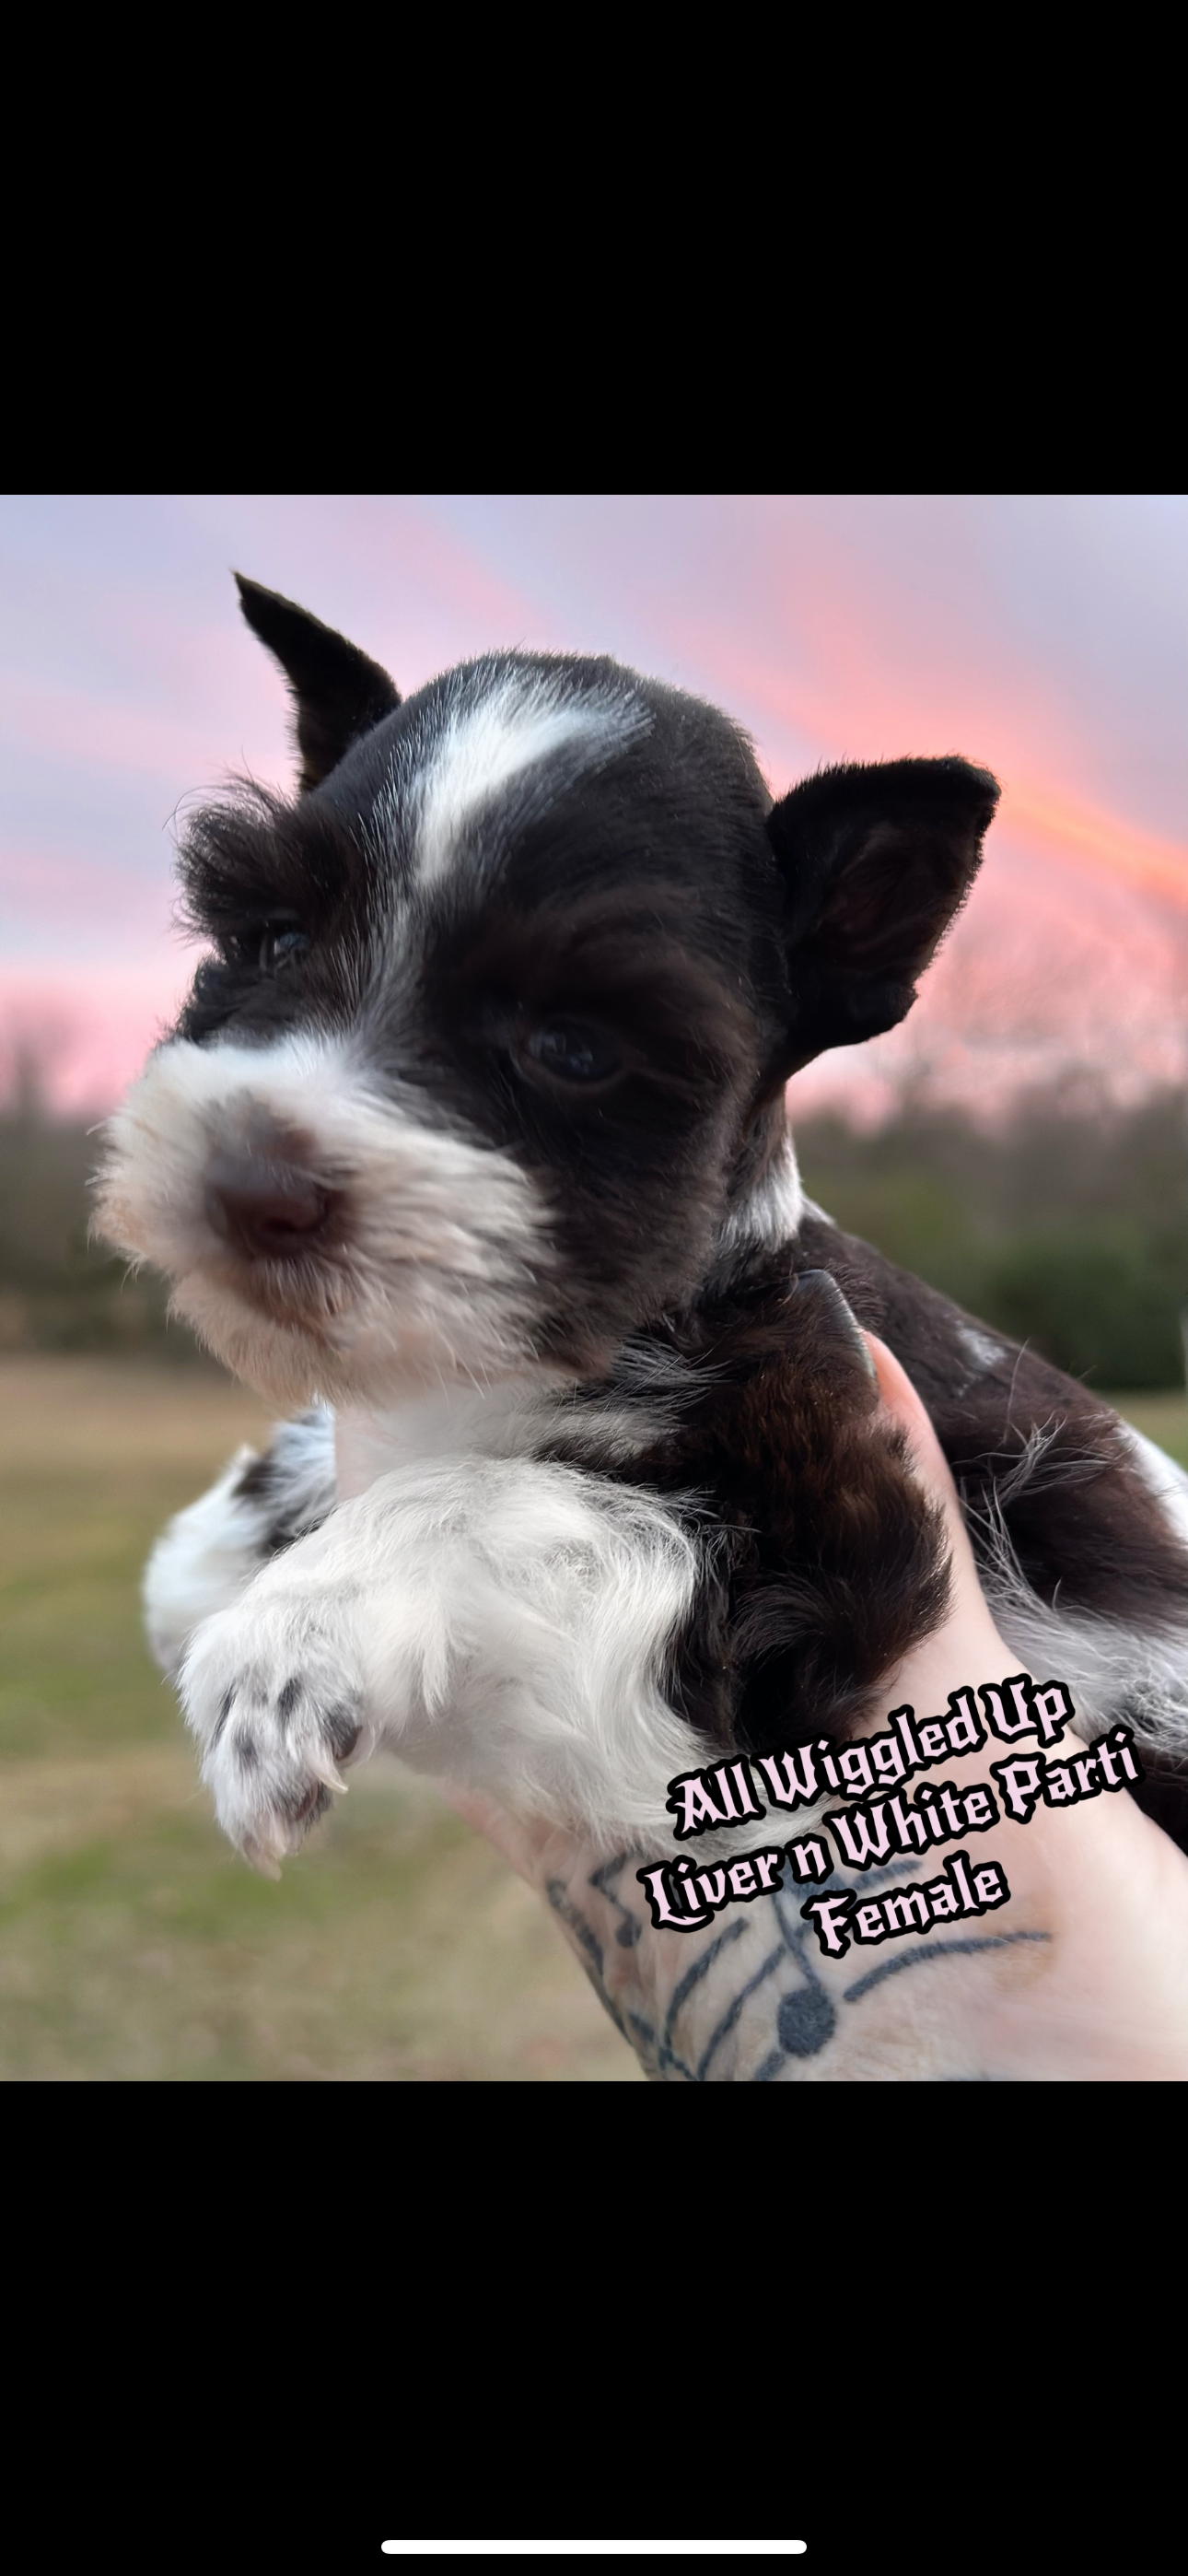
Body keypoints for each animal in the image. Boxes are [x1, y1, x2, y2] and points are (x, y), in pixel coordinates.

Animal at [94, 580, 1185, 1875]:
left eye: (576, 1048)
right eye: (275, 940)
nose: (247, 1180)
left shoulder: (819, 1574)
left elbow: (501, 1496)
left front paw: (286, 1648)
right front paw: (210, 1550)